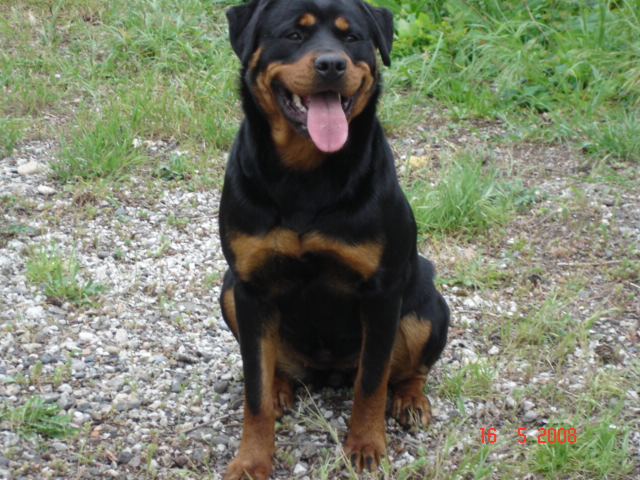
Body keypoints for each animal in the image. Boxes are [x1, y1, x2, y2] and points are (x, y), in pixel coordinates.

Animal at [218, 0, 449, 478]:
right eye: (293, 35)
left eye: (351, 38)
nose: (331, 64)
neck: (306, 175)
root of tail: (330, 372)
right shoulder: (250, 288)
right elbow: (254, 391)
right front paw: (251, 460)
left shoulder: (382, 293)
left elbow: (372, 382)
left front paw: (366, 445)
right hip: (228, 291)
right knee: (269, 368)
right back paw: (281, 386)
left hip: (427, 306)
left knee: (407, 369)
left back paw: (411, 400)